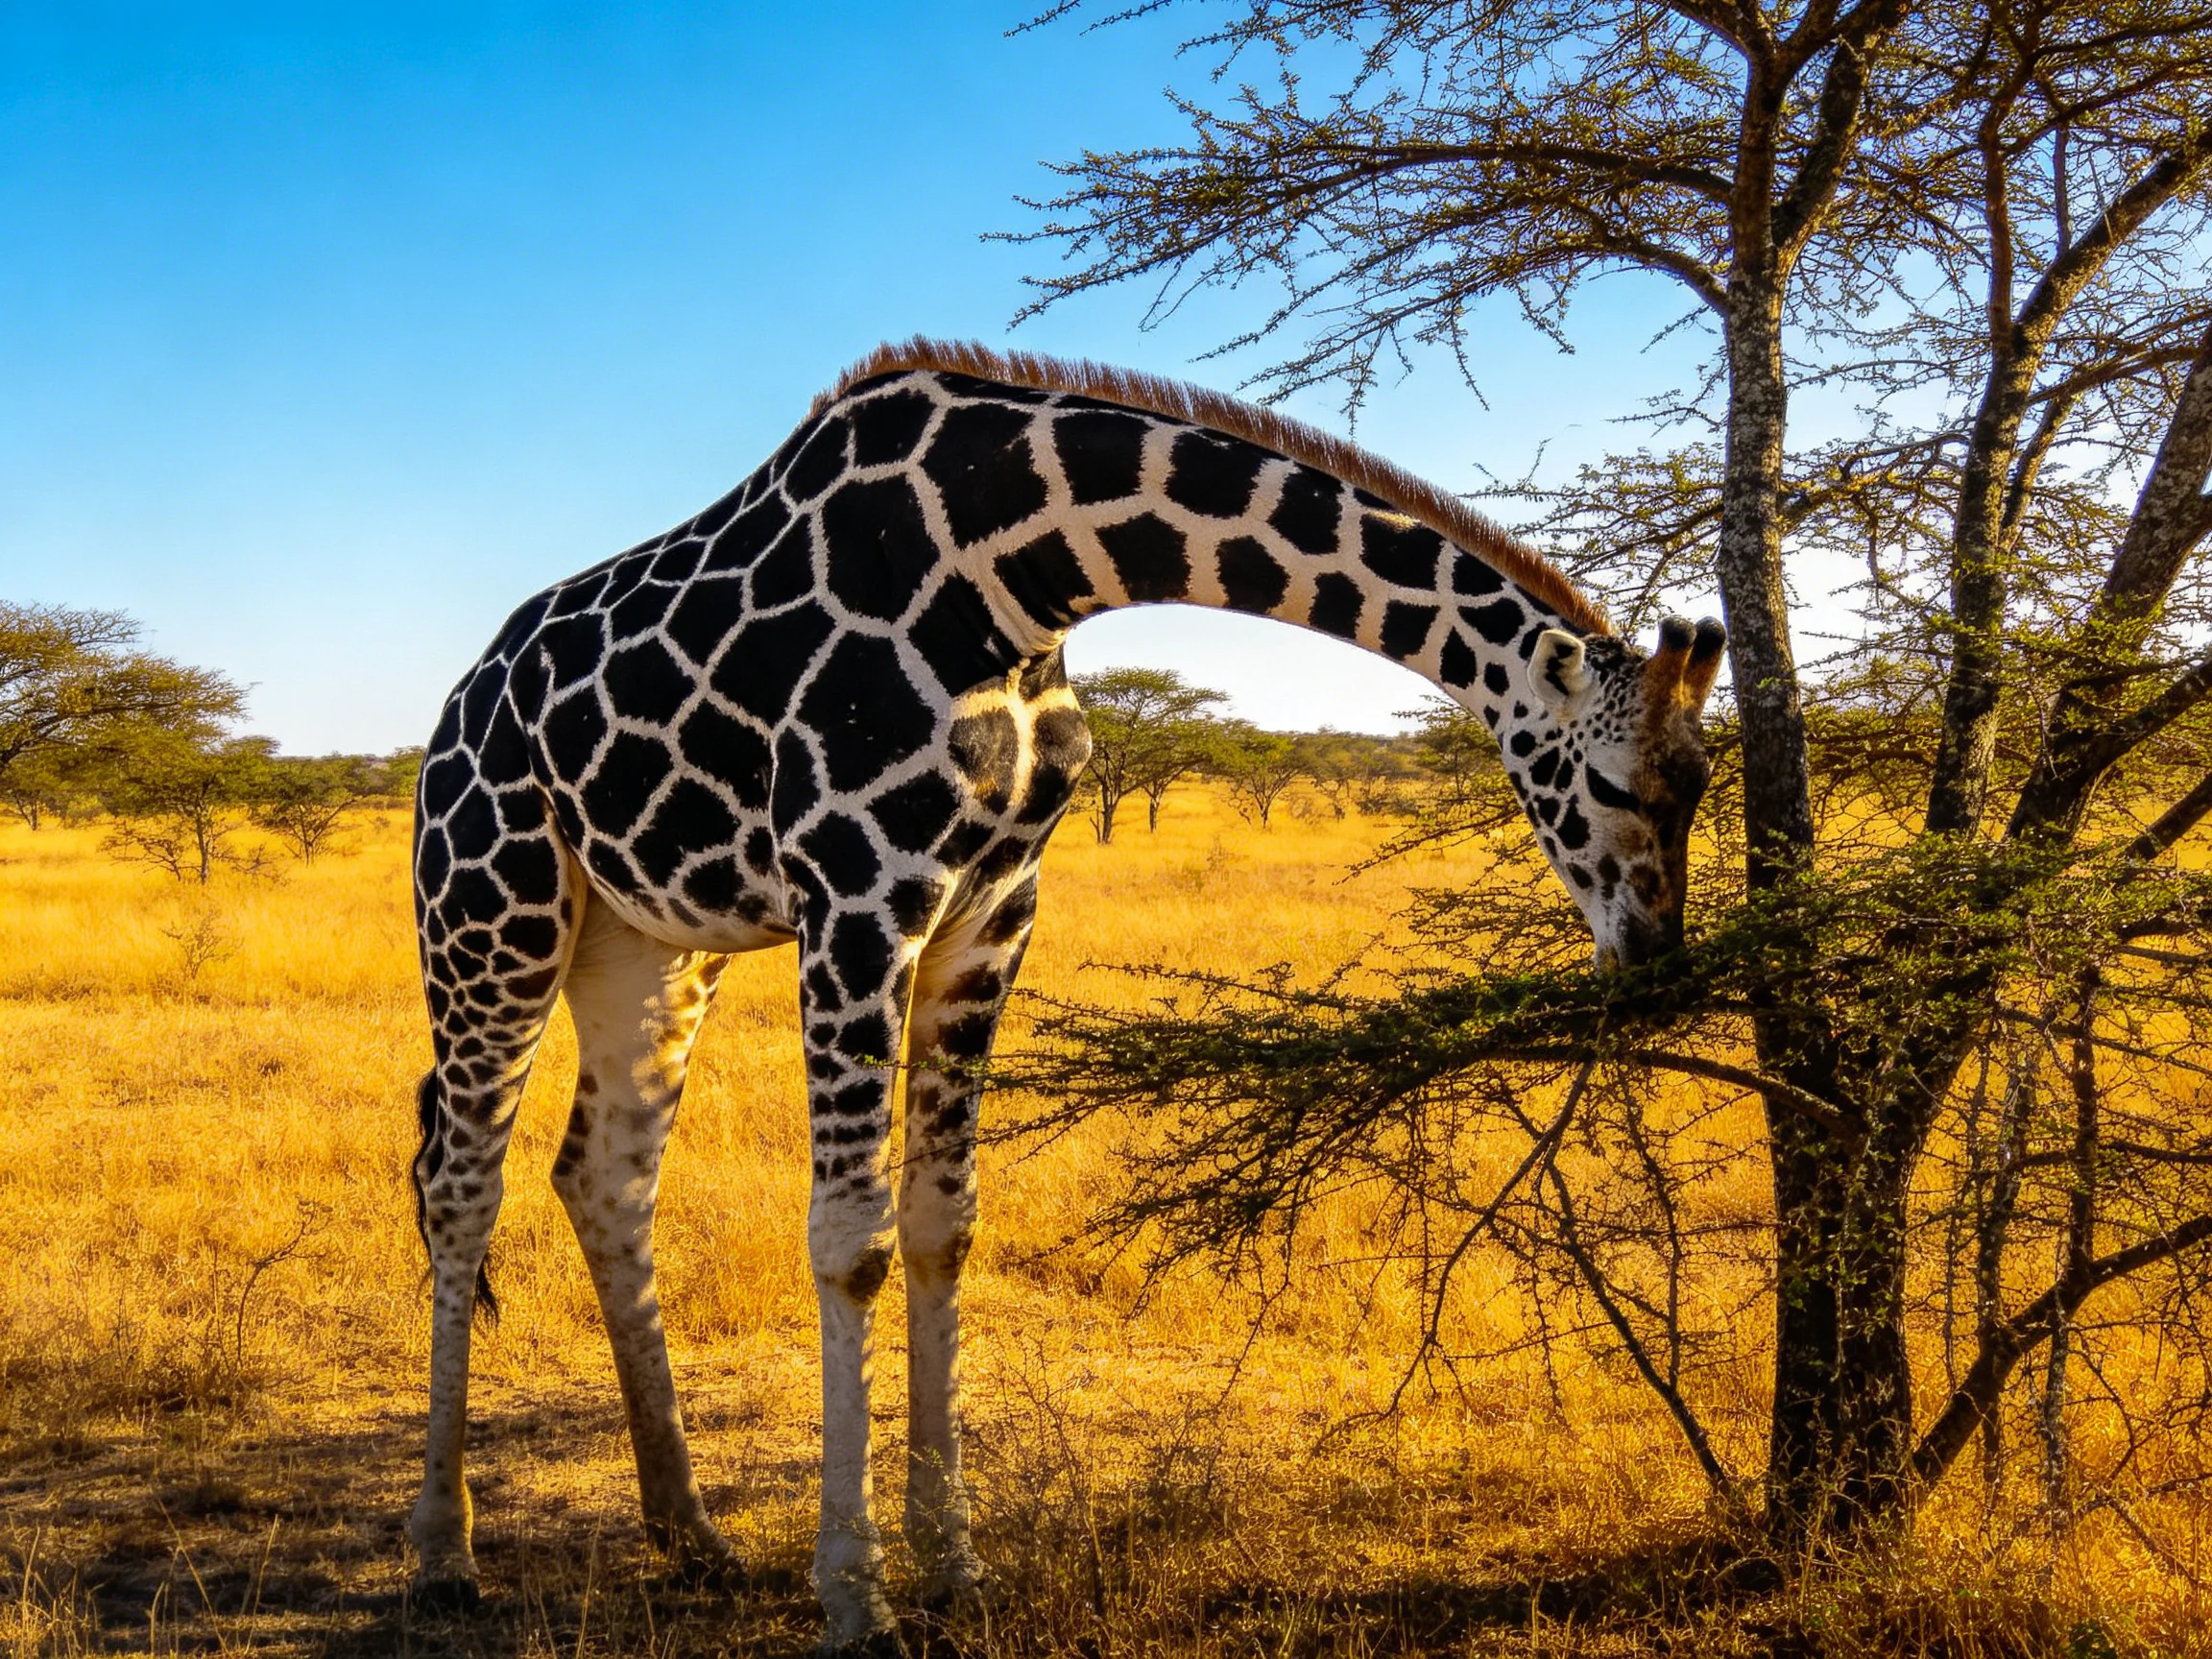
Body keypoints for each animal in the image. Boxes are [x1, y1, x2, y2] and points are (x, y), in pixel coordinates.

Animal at [406, 338, 1727, 1648]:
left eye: (1703, 782)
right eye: (1616, 784)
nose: (1656, 965)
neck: (1015, 576)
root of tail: (457, 702)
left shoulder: (993, 909)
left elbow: (943, 1223)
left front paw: (954, 1566)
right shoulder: (855, 891)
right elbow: (849, 1240)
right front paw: (856, 1596)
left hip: (647, 944)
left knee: (606, 1180)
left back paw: (691, 1534)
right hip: (491, 909)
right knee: (460, 1182)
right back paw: (443, 1553)